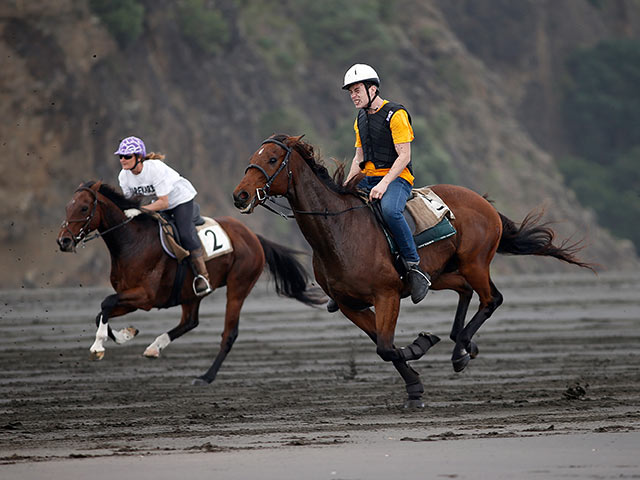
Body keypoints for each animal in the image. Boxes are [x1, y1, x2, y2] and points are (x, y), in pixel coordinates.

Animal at [57, 182, 322, 384]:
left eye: (83, 207)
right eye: (67, 207)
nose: (63, 241)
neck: (132, 242)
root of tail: (253, 236)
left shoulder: (145, 296)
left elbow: (106, 302)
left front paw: (98, 347)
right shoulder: (131, 297)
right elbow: (102, 311)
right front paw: (126, 334)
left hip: (238, 286)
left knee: (229, 333)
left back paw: (205, 376)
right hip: (191, 293)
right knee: (190, 321)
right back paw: (155, 347)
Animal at [231, 133, 596, 406]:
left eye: (273, 160)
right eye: (254, 156)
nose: (241, 195)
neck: (340, 230)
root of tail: (484, 203)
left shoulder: (387, 295)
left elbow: (386, 346)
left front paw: (421, 346)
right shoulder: (350, 305)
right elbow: (384, 347)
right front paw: (415, 387)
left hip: (475, 263)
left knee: (492, 299)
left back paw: (461, 348)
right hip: (441, 274)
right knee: (466, 291)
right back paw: (462, 345)